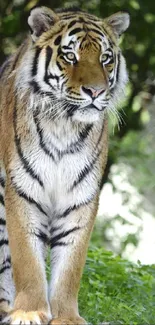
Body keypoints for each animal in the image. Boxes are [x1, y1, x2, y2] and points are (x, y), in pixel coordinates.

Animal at [0, 5, 130, 324]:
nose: (95, 92)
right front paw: (28, 312)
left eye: (105, 58)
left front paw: (67, 317)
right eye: (70, 56)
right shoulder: (22, 191)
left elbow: (71, 267)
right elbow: (27, 260)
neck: (64, 126)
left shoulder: (80, 199)